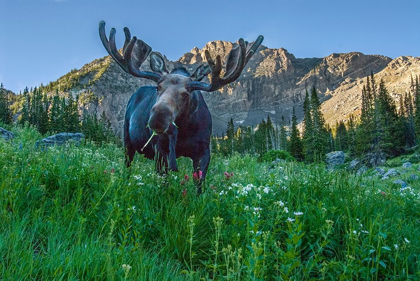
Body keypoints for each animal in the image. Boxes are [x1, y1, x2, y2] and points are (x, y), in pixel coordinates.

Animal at [99, 20, 262, 192]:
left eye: (186, 94)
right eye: (158, 87)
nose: (158, 118)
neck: (184, 129)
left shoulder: (204, 151)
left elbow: (199, 185)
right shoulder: (160, 150)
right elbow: (164, 183)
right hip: (127, 141)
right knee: (127, 166)